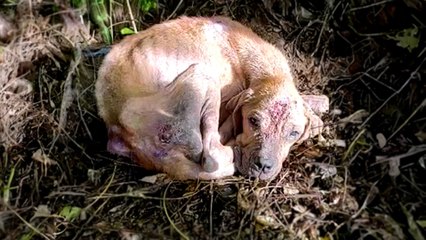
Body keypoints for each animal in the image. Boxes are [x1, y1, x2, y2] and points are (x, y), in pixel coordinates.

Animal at [94, 15, 326, 179]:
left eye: (294, 133)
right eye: (253, 121)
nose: (263, 166)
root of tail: (123, 130)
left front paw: (316, 106)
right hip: (201, 78)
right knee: (211, 153)